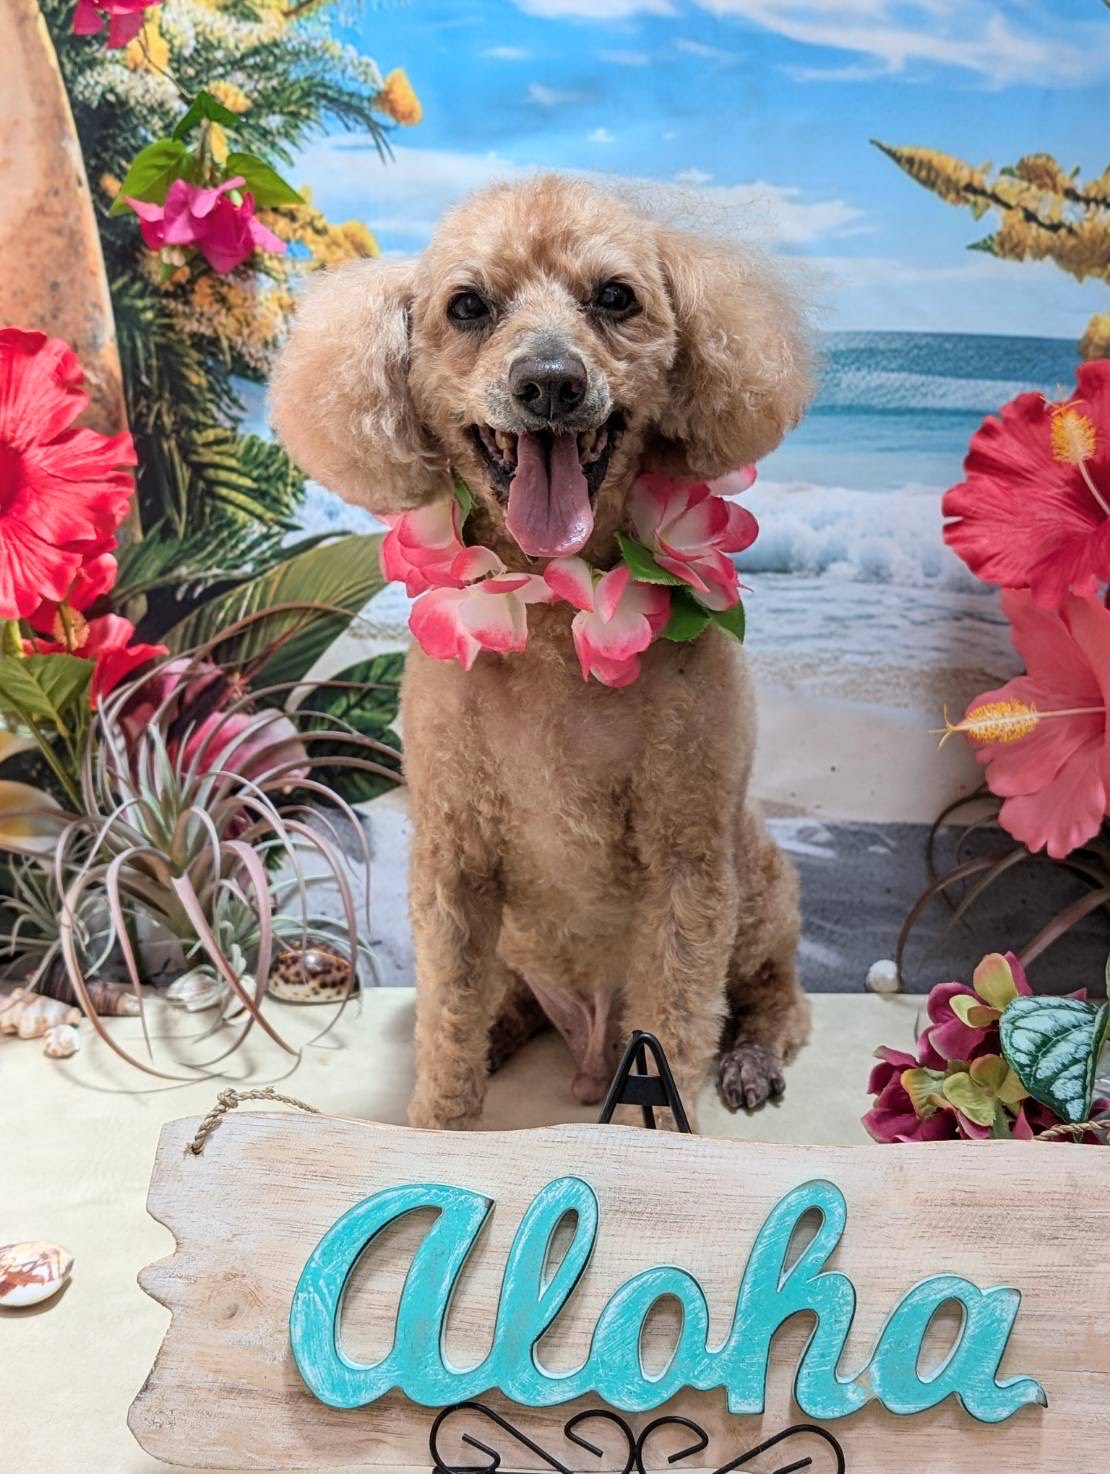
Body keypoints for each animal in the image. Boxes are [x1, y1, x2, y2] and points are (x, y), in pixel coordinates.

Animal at [273, 174, 812, 1130]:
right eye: (467, 306)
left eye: (616, 298)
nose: (551, 383)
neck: (560, 613)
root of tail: (591, 1047)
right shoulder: (452, 856)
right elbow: (447, 1013)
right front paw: (440, 1120)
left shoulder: (687, 856)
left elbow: (678, 1014)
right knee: (500, 1000)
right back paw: (500, 1037)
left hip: (758, 885)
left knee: (774, 997)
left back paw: (749, 1058)